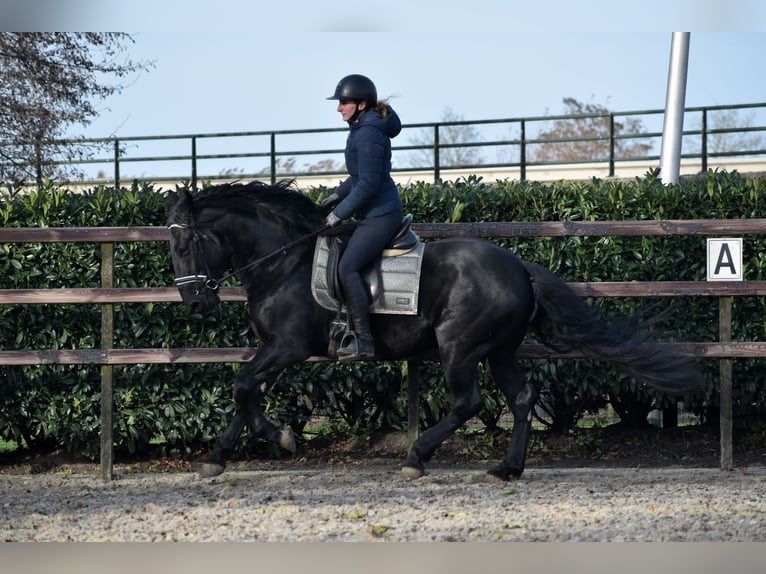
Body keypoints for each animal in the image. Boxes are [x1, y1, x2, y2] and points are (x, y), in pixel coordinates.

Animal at [168, 180, 708, 482]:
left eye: (183, 246)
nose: (195, 302)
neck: (286, 260)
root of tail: (520, 267)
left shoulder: (288, 346)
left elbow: (242, 387)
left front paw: (278, 439)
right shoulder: (273, 349)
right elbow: (245, 391)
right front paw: (221, 455)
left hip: (460, 347)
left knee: (468, 403)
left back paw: (417, 457)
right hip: (499, 350)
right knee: (521, 398)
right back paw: (507, 469)